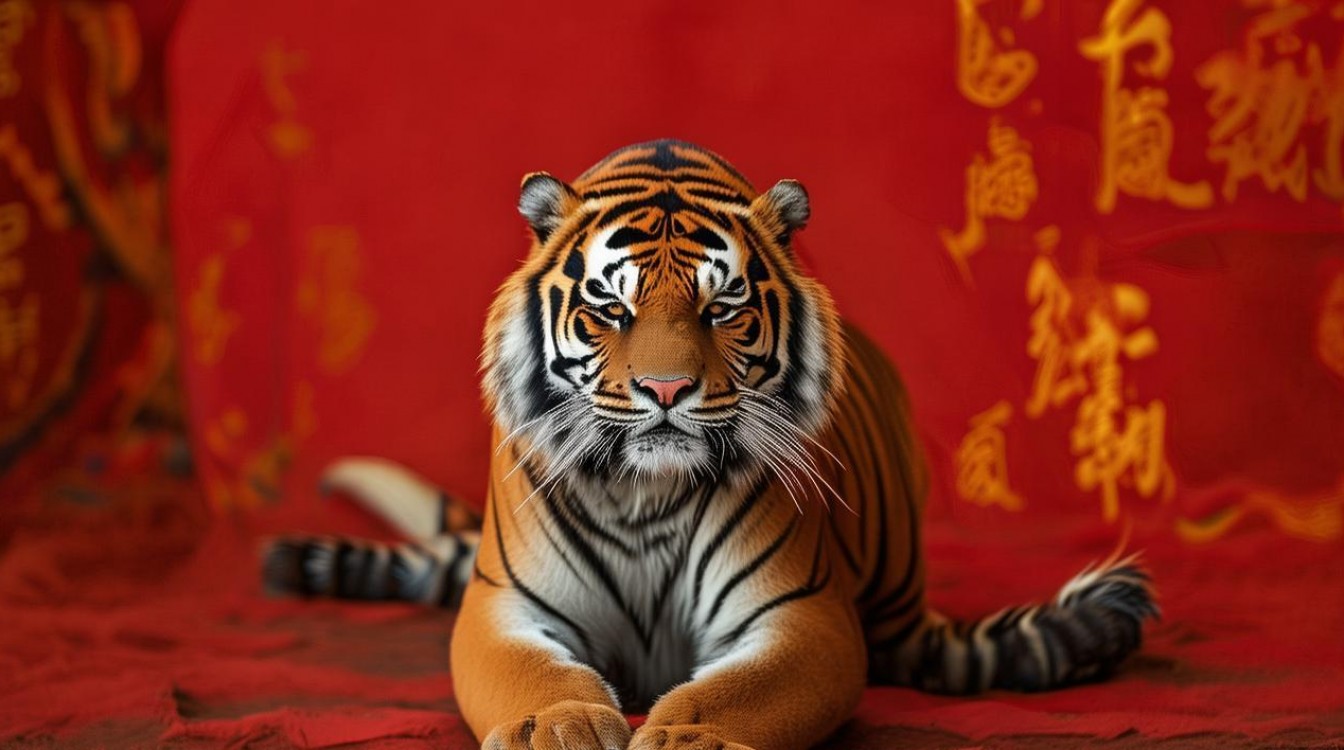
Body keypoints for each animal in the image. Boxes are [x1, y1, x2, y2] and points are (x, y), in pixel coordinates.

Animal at [265, 140, 1158, 750]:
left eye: (722, 308)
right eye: (610, 309)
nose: (665, 391)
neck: (644, 496)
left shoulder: (800, 616)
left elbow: (740, 691)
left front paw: (685, 736)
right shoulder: (506, 606)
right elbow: (536, 674)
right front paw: (557, 729)